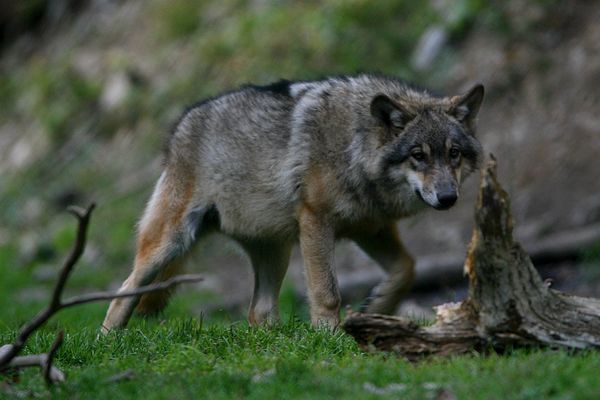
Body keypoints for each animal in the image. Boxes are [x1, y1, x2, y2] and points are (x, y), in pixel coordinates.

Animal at [102, 74, 482, 332]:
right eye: (418, 155)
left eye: (454, 154)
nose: (448, 197)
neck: (353, 145)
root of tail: (181, 124)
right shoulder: (316, 221)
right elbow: (327, 291)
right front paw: (330, 337)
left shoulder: (370, 228)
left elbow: (408, 267)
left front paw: (376, 307)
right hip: (172, 243)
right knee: (126, 288)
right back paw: (107, 342)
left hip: (276, 251)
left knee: (259, 310)